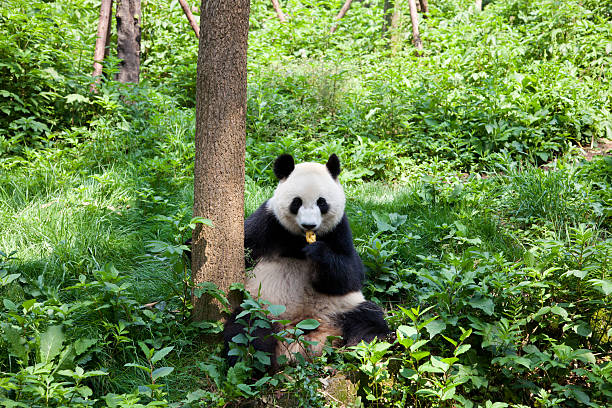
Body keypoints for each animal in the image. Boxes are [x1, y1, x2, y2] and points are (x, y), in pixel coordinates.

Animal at [225, 154, 392, 370]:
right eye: (296, 202)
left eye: (322, 202)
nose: (309, 225)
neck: (299, 239)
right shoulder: (267, 222)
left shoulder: (339, 230)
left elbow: (351, 275)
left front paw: (318, 252)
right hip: (262, 308)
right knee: (247, 330)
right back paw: (254, 361)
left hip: (342, 308)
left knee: (369, 318)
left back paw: (364, 348)